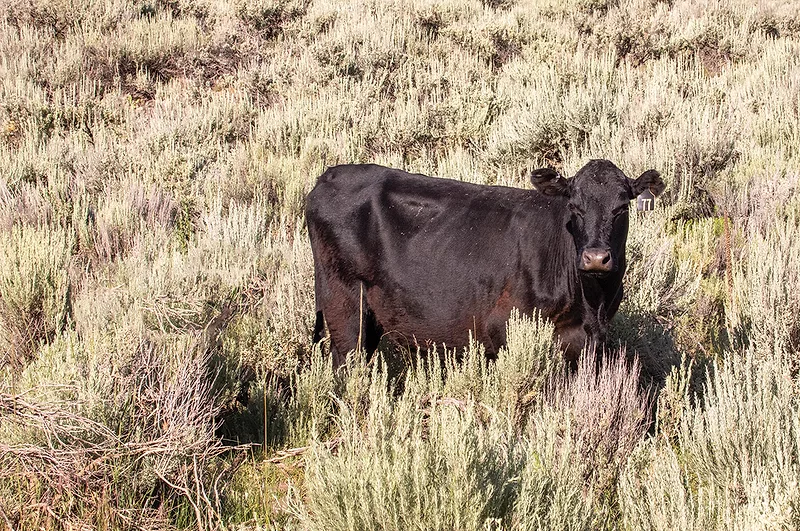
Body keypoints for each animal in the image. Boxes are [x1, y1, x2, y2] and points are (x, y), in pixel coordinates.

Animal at [306, 159, 664, 367]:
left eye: (621, 208)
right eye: (574, 206)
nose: (595, 258)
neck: (592, 301)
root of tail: (329, 175)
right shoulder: (503, 328)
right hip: (344, 304)